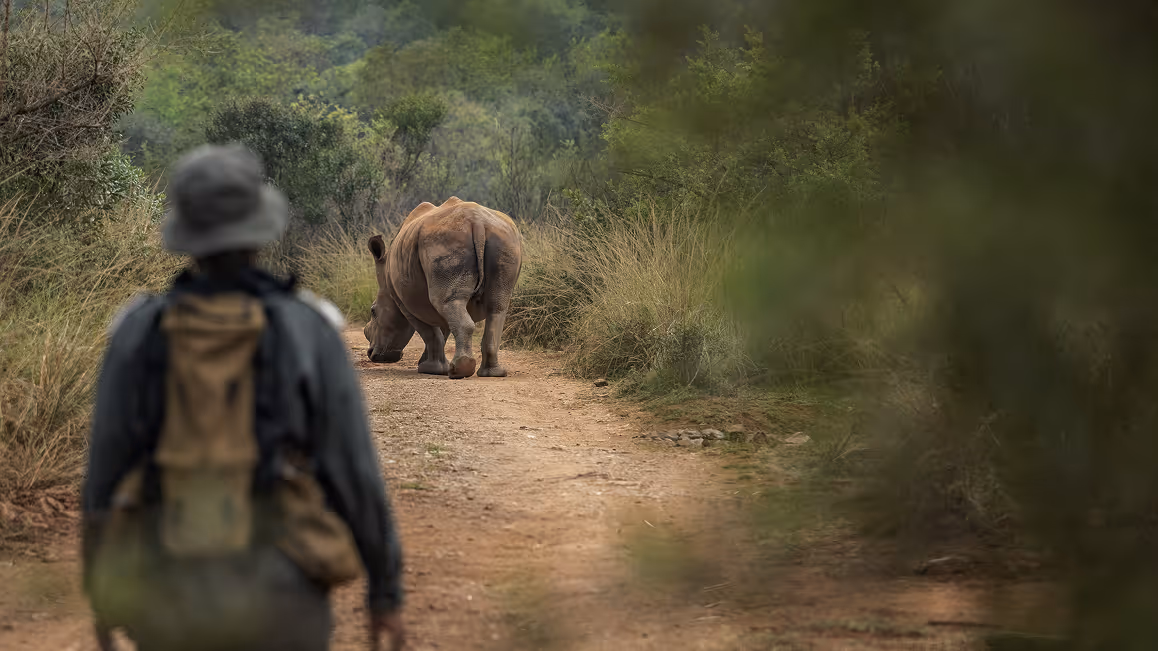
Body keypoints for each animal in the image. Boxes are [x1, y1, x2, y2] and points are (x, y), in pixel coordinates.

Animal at [364, 197, 523, 379]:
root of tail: (478, 222)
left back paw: (458, 371)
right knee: (497, 307)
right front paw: (427, 364)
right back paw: (493, 373)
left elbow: (431, 333)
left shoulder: (403, 302)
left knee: (448, 302)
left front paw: (431, 369)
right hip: (505, 240)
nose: (372, 354)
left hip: (444, 241)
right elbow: (442, 330)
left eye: (373, 311)